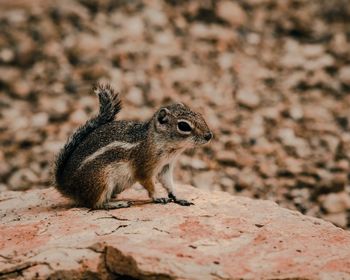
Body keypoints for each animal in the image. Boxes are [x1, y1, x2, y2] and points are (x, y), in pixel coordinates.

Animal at [54, 84, 212, 209]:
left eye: (199, 114)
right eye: (183, 126)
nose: (209, 135)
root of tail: (66, 186)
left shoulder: (165, 167)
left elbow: (168, 183)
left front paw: (177, 197)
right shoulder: (144, 166)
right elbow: (149, 184)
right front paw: (158, 197)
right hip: (101, 180)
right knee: (95, 204)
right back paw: (116, 204)